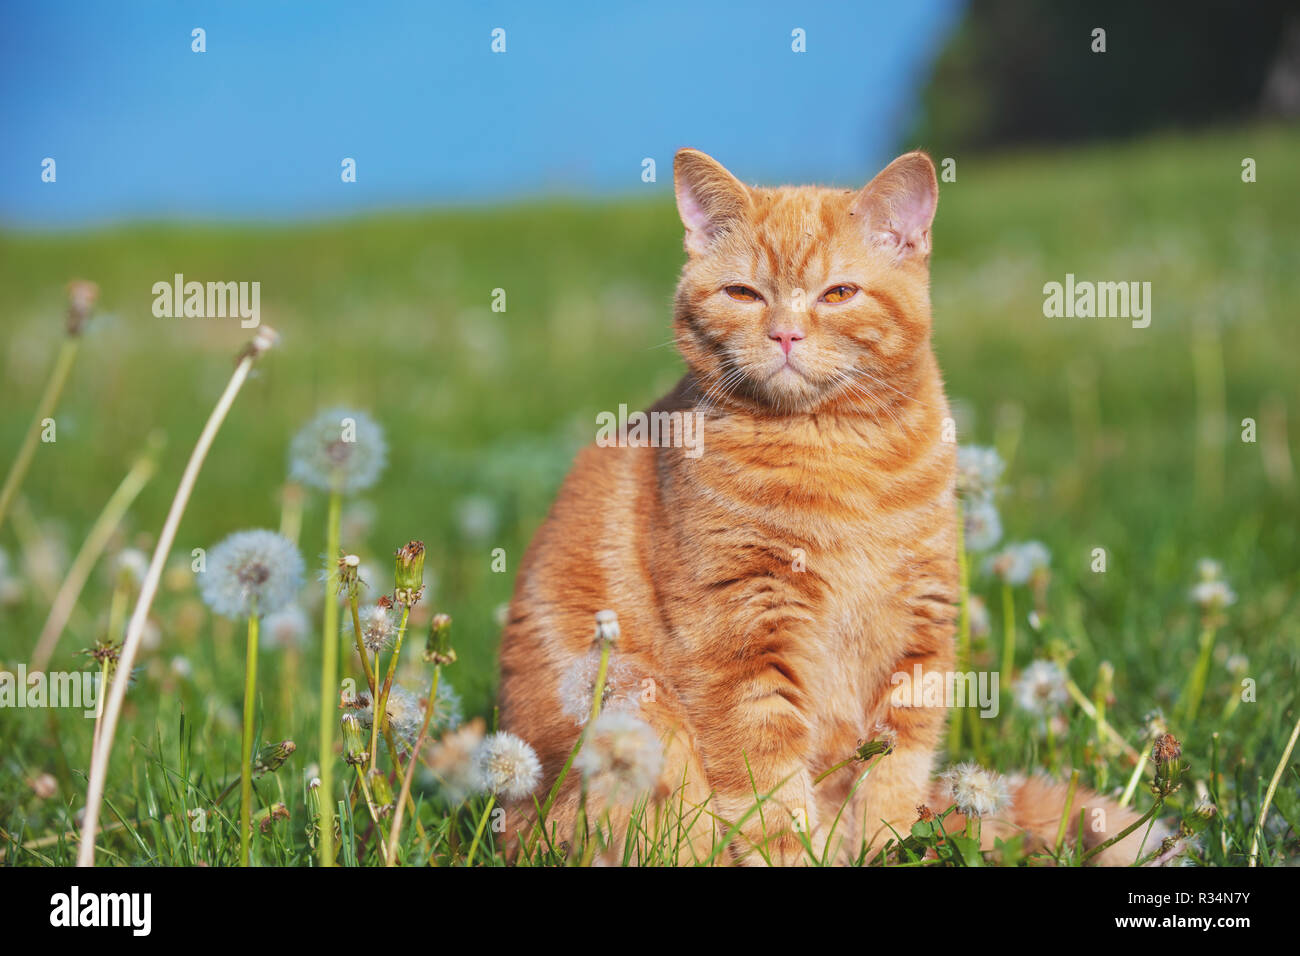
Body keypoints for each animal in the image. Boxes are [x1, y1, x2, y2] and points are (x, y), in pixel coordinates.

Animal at [493, 147, 1149, 868]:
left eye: (837, 294)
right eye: (744, 294)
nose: (785, 334)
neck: (834, 453)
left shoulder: (917, 643)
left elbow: (895, 778)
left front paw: (892, 848)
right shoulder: (741, 645)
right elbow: (771, 792)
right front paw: (794, 850)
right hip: (629, 708)